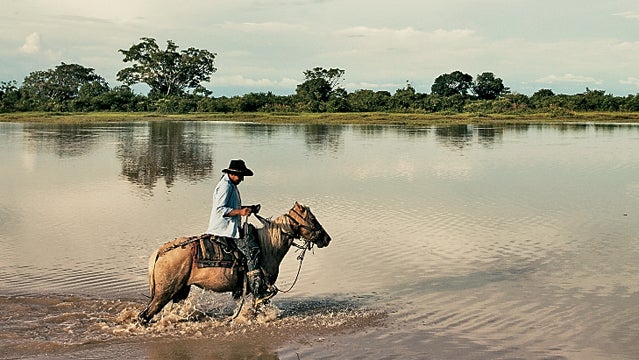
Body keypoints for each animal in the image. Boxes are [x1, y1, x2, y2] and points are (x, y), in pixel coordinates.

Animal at [139, 202, 330, 324]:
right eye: (313, 219)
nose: (327, 238)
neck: (268, 245)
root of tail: (160, 252)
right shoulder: (261, 288)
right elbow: (259, 306)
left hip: (180, 291)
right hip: (164, 292)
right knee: (145, 315)